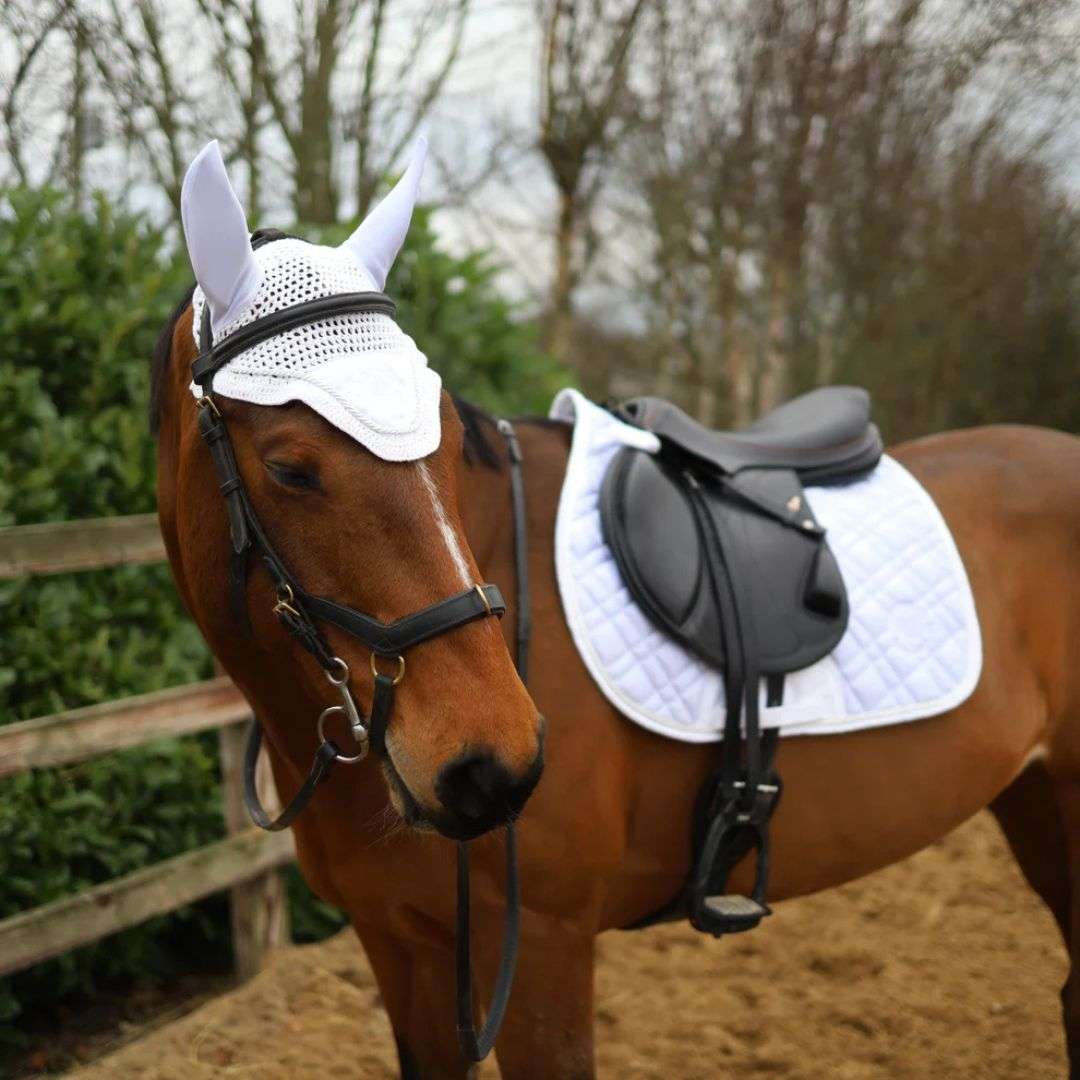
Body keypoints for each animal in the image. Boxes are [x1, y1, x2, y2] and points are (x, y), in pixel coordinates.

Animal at [155, 145, 1080, 1078]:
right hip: (1035, 799)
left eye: (445, 435)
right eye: (290, 468)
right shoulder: (400, 950)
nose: (491, 765)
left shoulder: (546, 947)